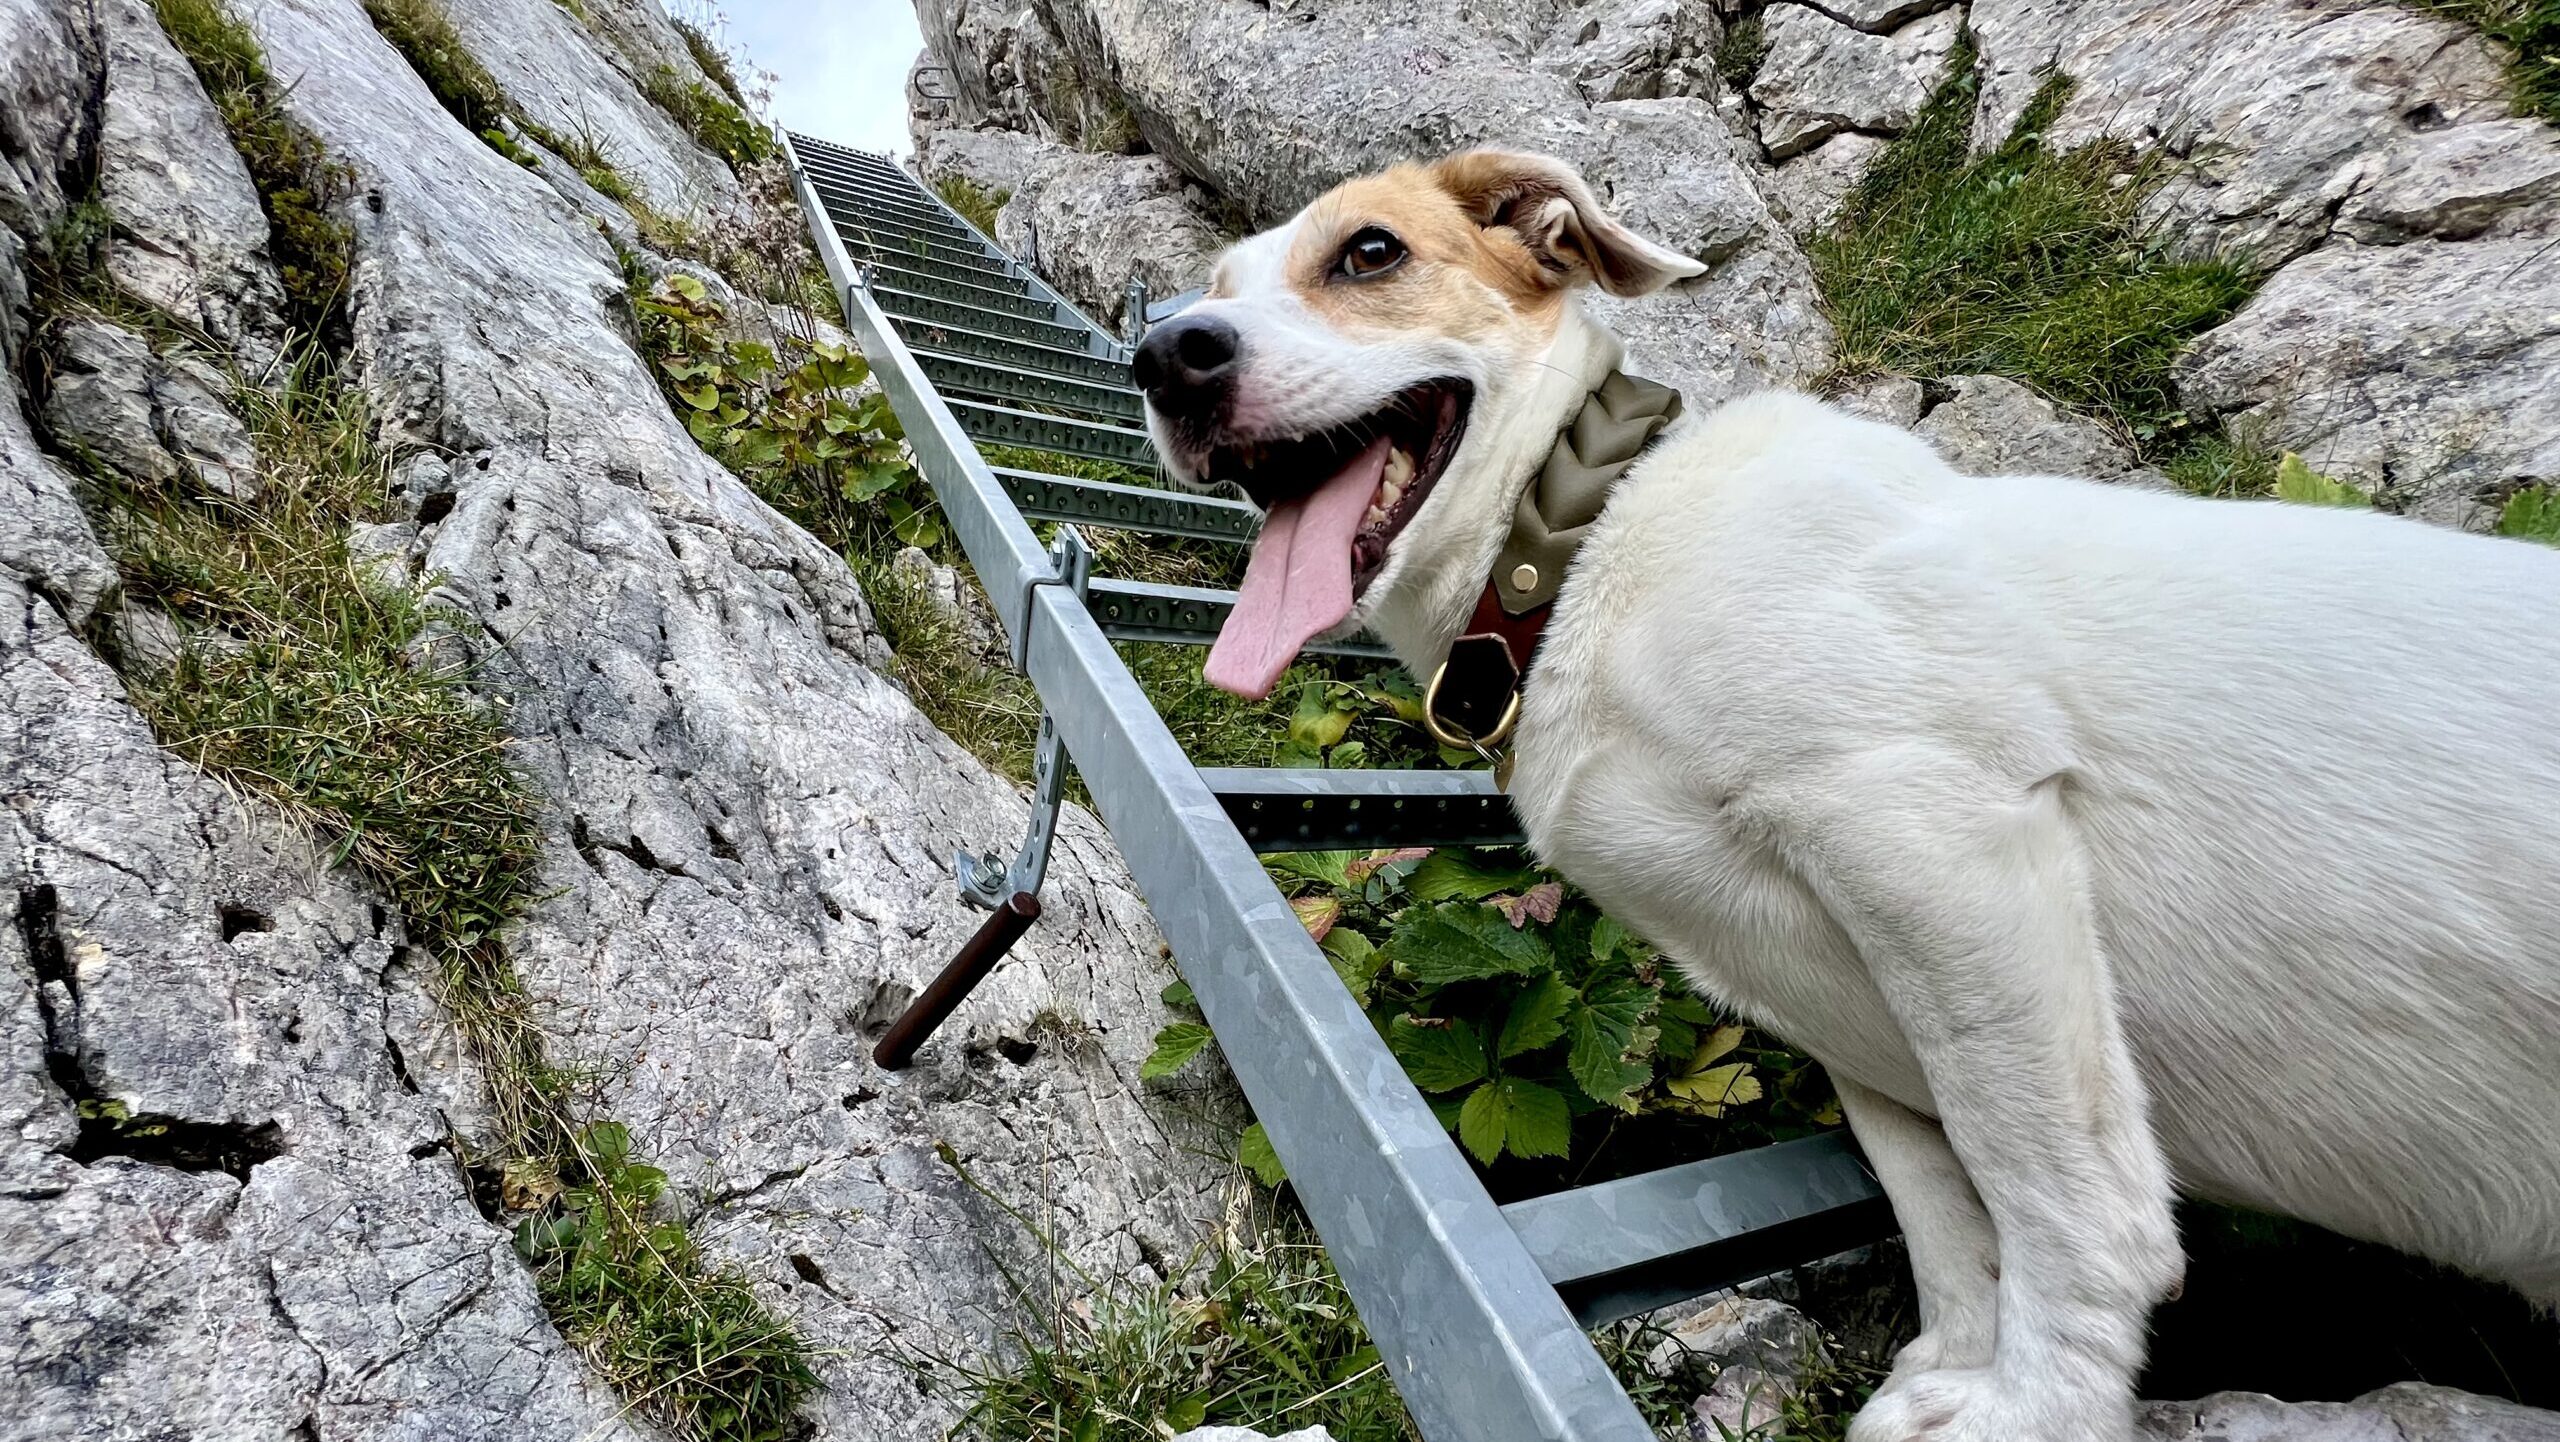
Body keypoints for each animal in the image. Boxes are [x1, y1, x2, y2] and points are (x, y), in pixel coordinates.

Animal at [1136, 149, 2560, 1442]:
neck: (1584, 549)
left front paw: (2032, 1409)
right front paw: (1958, 1363)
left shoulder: (1928, 832)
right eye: (1209, 289)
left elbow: (2056, 1195)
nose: (1168, 357)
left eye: (1368, 253)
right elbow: (1944, 1211)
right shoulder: (1855, 1003)